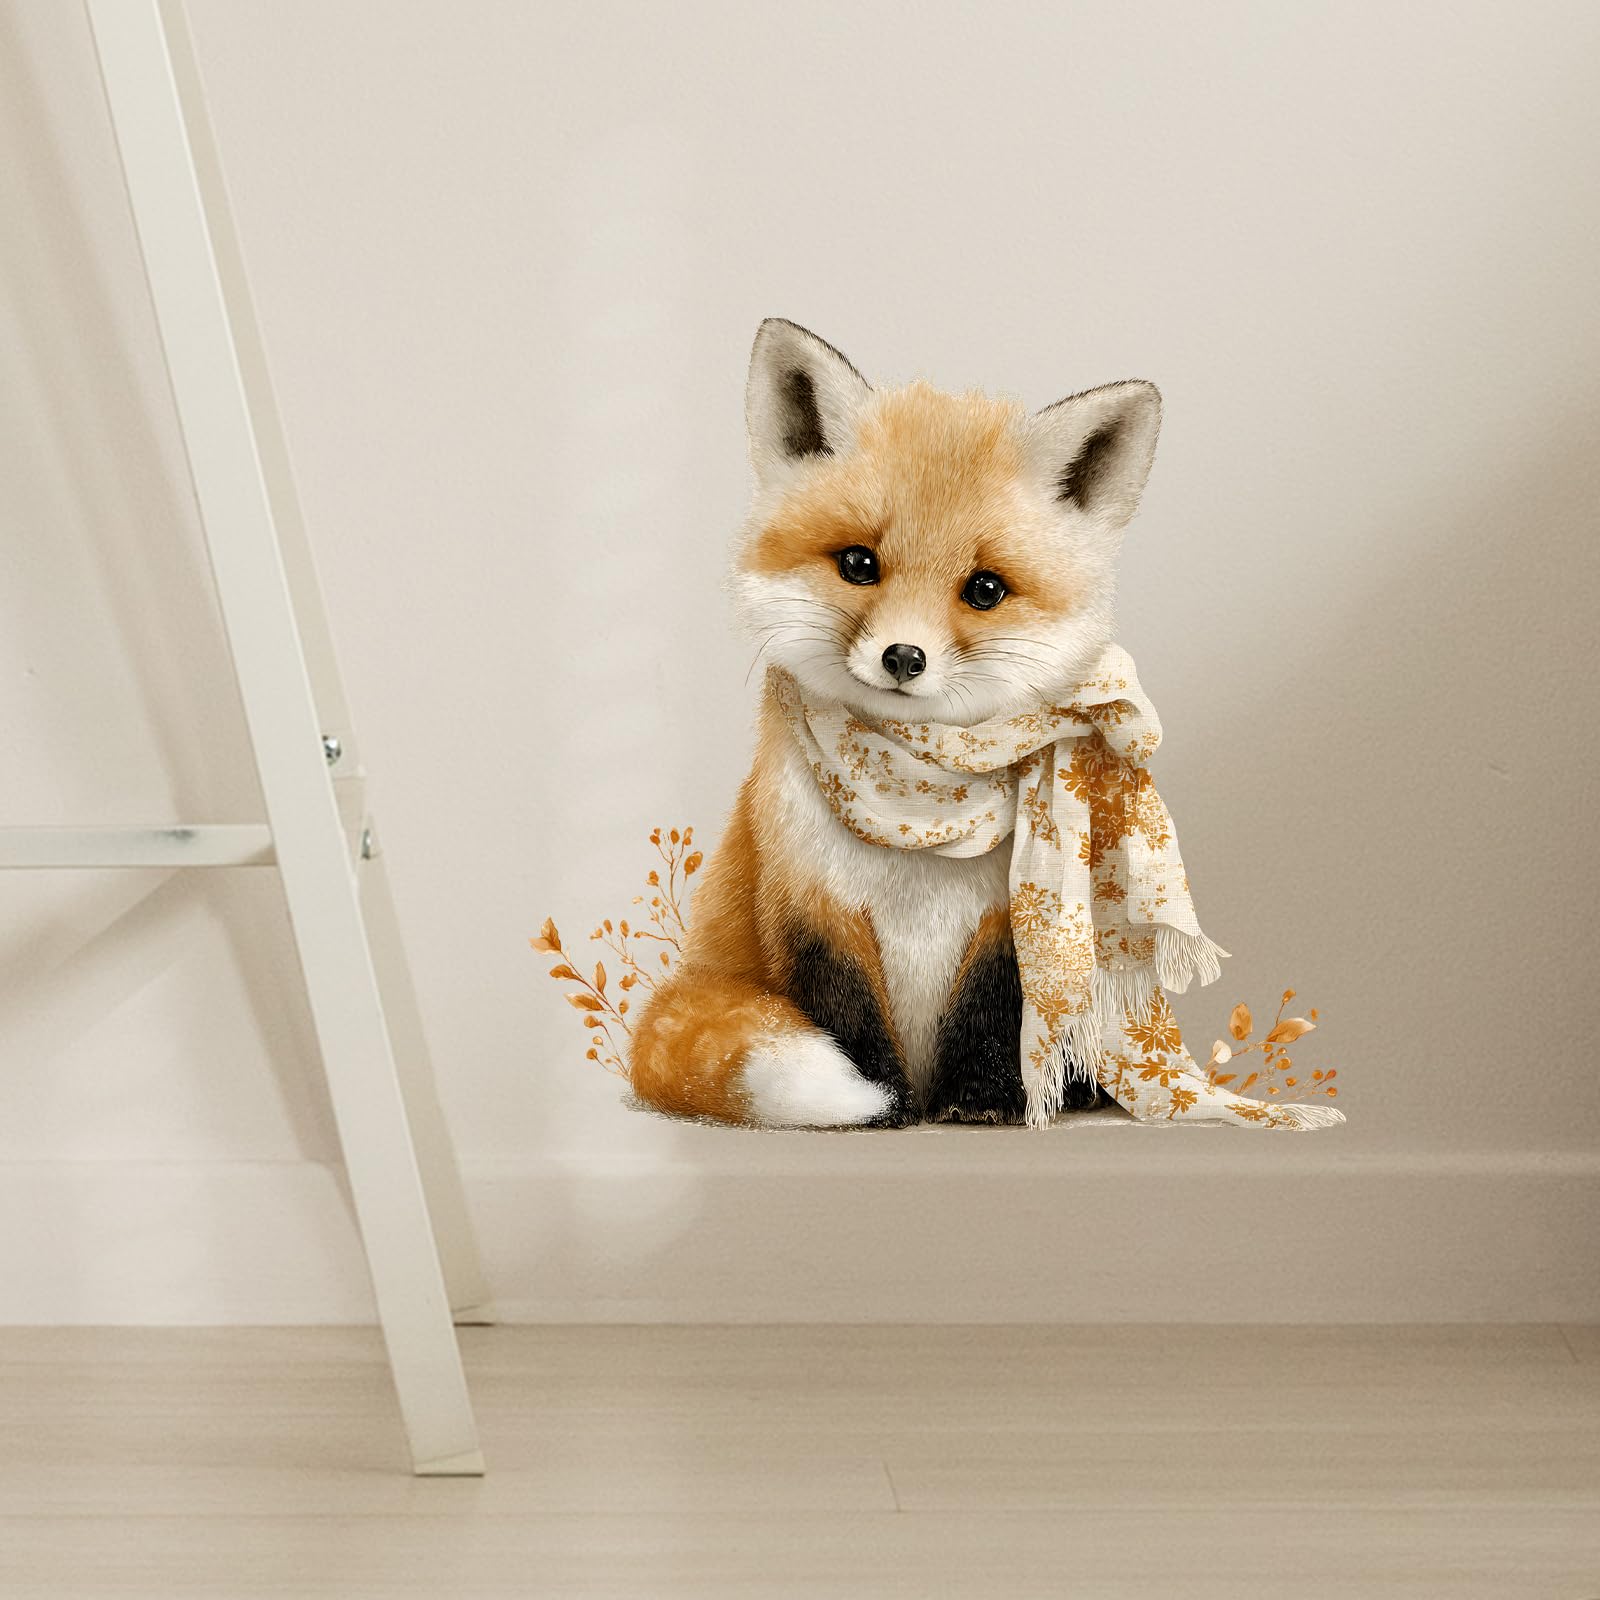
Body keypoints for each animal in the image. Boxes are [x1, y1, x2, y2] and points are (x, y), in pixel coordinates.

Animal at [629, 319, 1162, 1127]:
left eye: (984, 589)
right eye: (858, 563)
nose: (903, 657)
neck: (918, 809)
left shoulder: (1006, 920)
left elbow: (992, 1011)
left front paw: (985, 1102)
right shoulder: (810, 901)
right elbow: (845, 1017)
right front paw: (882, 1102)